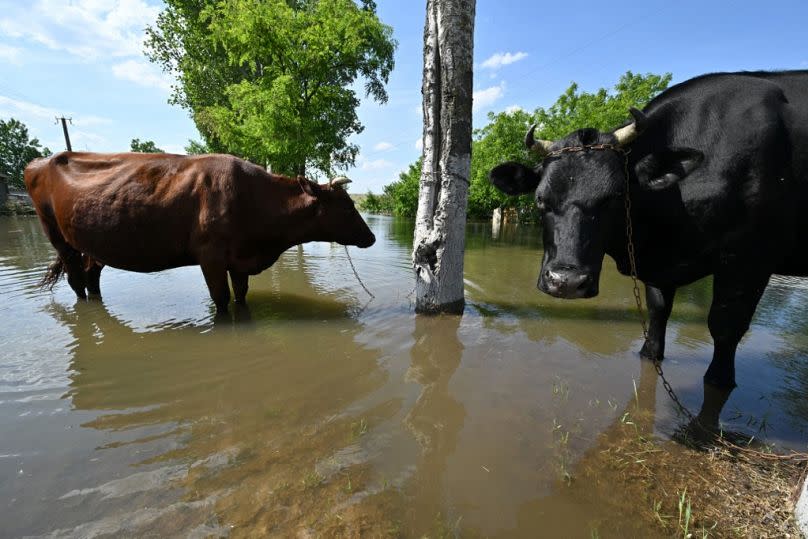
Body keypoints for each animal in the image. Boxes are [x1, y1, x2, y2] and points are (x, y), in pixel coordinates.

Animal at [25, 151, 376, 312]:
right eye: (347, 206)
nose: (372, 237)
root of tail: (40, 162)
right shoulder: (211, 257)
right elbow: (221, 300)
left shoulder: (240, 258)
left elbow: (241, 296)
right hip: (55, 234)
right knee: (76, 280)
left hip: (94, 241)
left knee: (91, 274)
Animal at [490, 69, 804, 428]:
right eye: (541, 198)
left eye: (615, 197)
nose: (565, 282)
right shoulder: (660, 271)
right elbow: (657, 313)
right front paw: (649, 354)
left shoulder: (749, 258)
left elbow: (725, 329)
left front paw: (717, 389)